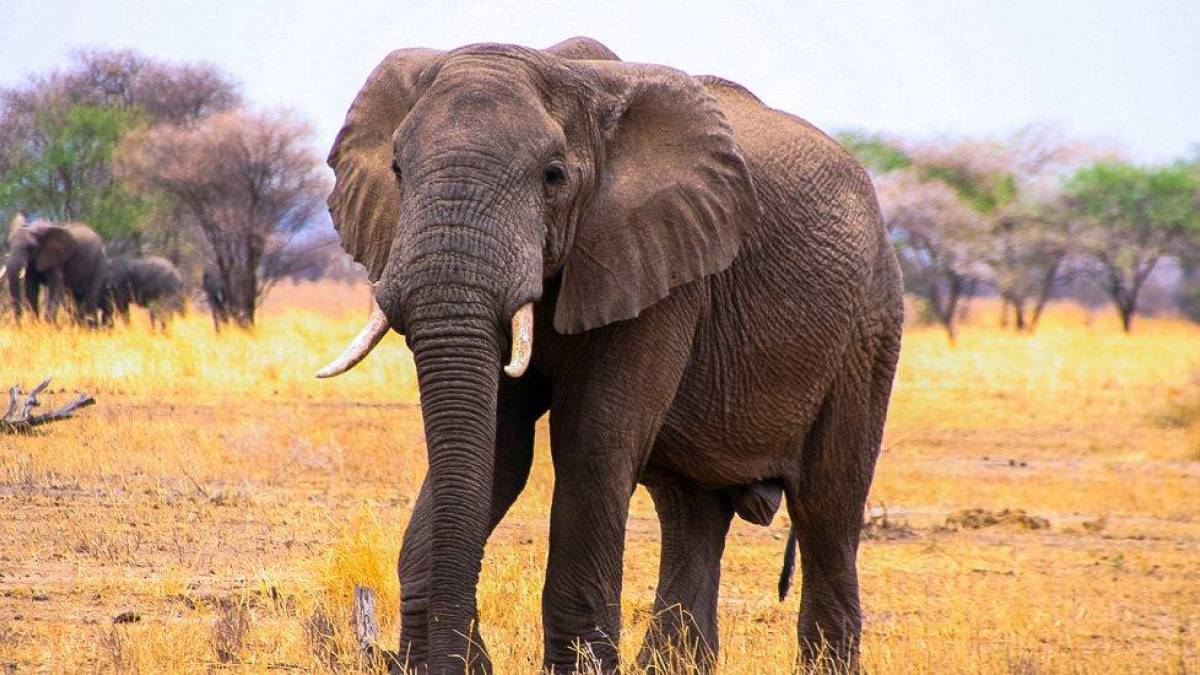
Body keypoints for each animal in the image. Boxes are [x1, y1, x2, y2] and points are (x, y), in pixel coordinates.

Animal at [315, 36, 903, 673]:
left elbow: (591, 445)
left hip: (869, 327)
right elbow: (498, 448)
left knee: (828, 508)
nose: (456, 661)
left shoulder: (660, 265)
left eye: (552, 176)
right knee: (692, 511)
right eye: (398, 169)